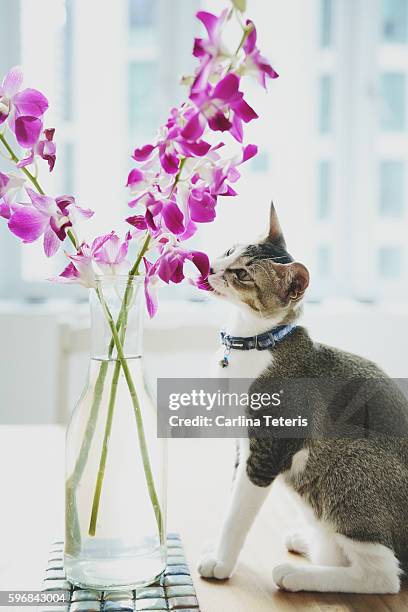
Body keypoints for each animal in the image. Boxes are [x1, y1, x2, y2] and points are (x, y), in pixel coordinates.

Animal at [198, 202, 408, 592]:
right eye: (230, 250)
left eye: (242, 274)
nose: (212, 267)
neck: (256, 342)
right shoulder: (242, 444)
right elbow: (232, 498)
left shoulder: (267, 449)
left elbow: (238, 513)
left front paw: (221, 561)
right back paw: (307, 540)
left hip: (352, 464)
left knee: (384, 576)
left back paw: (298, 574)